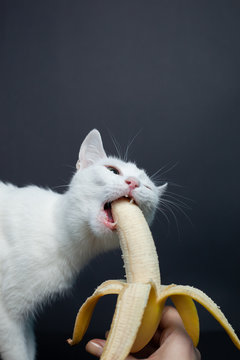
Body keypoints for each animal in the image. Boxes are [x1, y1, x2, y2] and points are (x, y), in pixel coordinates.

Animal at [0, 130, 166, 360]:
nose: (133, 182)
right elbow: (18, 352)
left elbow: (29, 347)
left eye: (147, 187)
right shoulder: (7, 316)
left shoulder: (23, 316)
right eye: (112, 170)